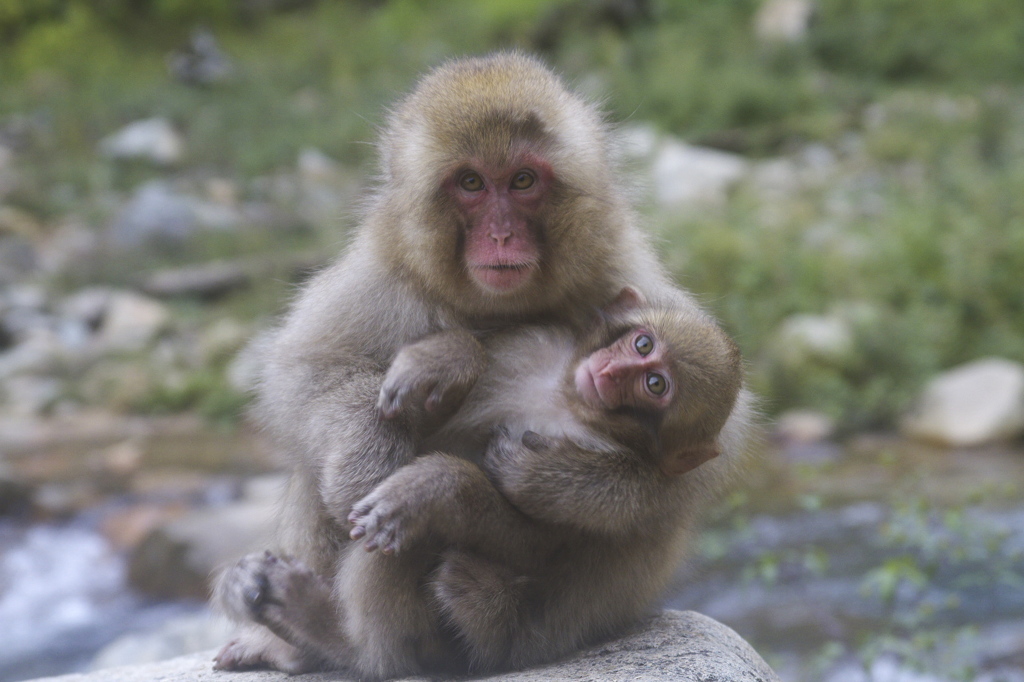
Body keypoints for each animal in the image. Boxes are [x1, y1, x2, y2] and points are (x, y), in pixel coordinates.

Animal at [218, 53, 745, 675]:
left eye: (522, 181)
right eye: (471, 183)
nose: (501, 234)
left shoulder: (622, 265)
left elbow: (703, 453)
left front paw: (549, 482)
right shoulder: (379, 277)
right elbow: (304, 374)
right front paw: (383, 444)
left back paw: (336, 636)